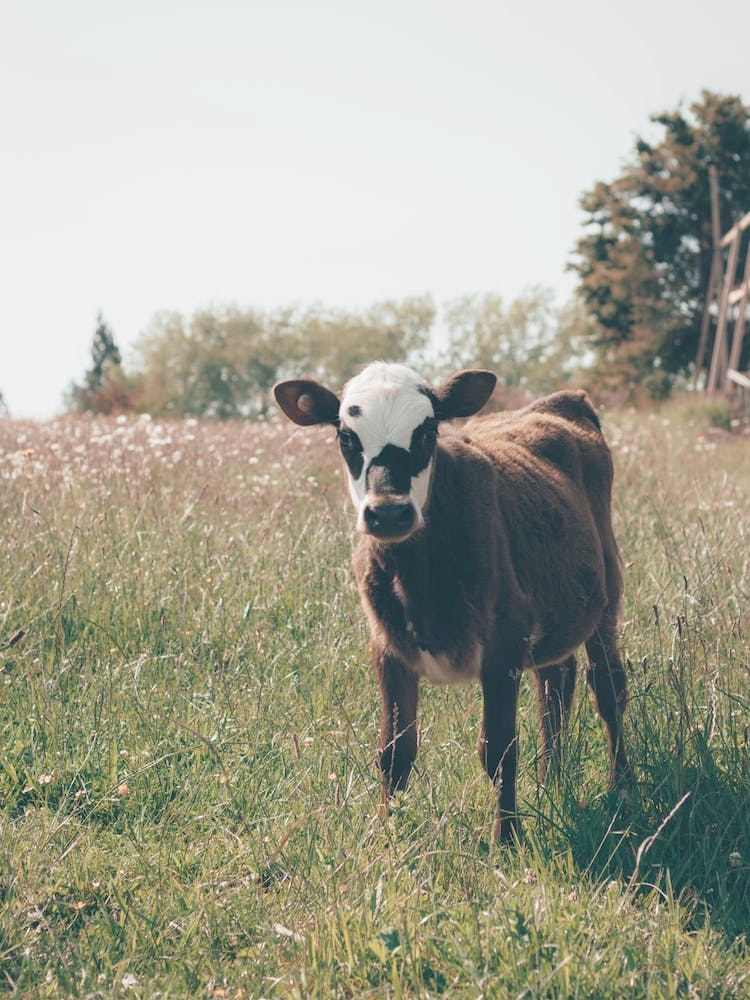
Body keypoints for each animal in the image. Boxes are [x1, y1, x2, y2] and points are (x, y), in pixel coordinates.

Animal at [274, 362, 629, 841]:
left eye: (426, 432)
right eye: (346, 437)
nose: (388, 513)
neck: (419, 581)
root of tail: (560, 401)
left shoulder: (503, 647)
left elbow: (498, 749)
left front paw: (506, 839)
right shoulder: (388, 650)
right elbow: (394, 752)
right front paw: (388, 835)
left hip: (606, 594)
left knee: (607, 688)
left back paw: (621, 785)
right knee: (555, 683)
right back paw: (550, 780)